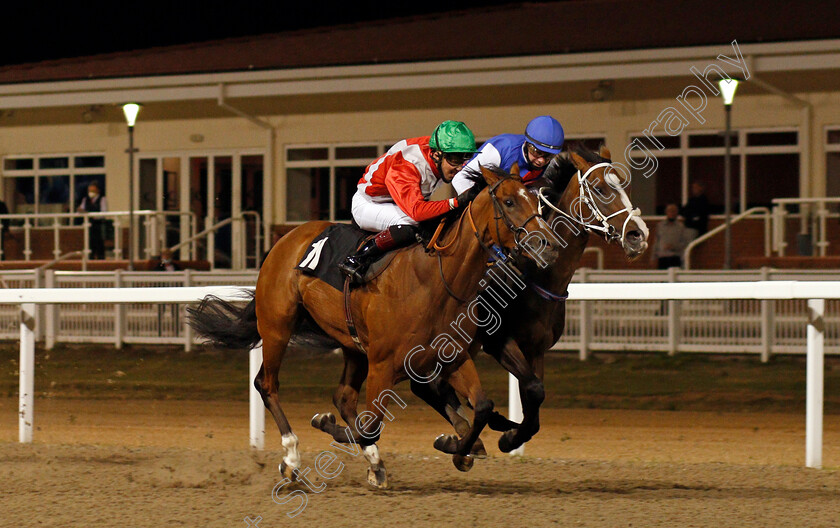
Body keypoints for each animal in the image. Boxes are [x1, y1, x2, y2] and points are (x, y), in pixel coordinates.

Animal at [187, 167, 560, 488]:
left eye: (536, 199)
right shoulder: (384, 364)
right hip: (277, 326)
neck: (434, 281)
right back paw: (292, 458)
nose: (550, 244)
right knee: (267, 383)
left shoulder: (450, 355)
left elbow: (481, 406)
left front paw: (458, 448)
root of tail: (284, 239)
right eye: (509, 202)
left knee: (344, 396)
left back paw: (375, 463)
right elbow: (372, 426)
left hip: (352, 344)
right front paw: (327, 426)